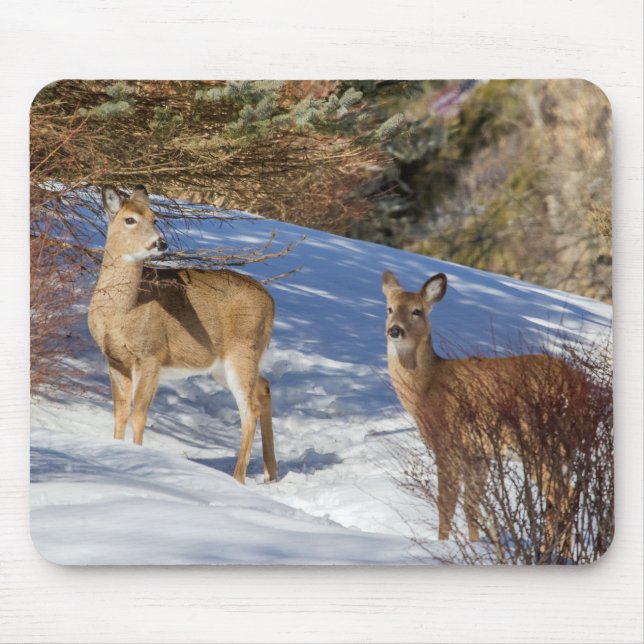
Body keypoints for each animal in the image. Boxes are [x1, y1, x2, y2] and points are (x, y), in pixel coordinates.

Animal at [88, 185, 277, 485]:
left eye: (154, 218)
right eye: (130, 219)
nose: (160, 243)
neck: (124, 311)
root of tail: (272, 303)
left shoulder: (151, 355)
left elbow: (139, 413)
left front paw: (140, 457)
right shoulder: (115, 359)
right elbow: (120, 413)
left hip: (242, 350)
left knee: (250, 409)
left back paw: (237, 478)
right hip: (224, 365)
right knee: (264, 386)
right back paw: (271, 473)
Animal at [382, 270, 586, 555]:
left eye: (417, 311)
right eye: (389, 308)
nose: (394, 330)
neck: (425, 390)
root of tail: (578, 386)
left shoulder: (448, 444)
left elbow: (446, 506)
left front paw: (444, 546)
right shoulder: (478, 455)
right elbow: (472, 506)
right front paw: (477, 546)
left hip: (541, 442)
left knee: (564, 497)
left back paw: (550, 552)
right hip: (563, 449)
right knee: (563, 499)